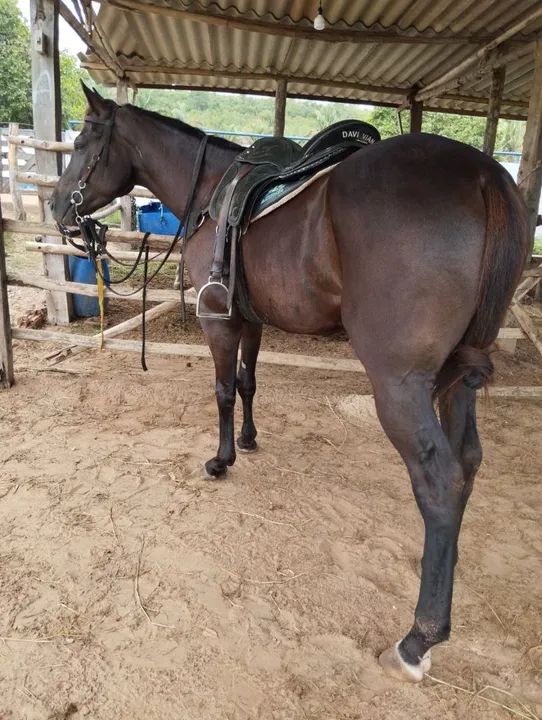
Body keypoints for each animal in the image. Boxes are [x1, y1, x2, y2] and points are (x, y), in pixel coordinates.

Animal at [51, 84, 530, 683]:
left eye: (82, 142)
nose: (56, 206)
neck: (211, 192)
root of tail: (484, 176)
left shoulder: (218, 321)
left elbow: (223, 390)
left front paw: (221, 460)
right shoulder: (251, 320)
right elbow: (249, 383)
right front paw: (250, 440)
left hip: (399, 384)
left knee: (441, 481)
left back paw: (419, 638)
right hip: (457, 380)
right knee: (467, 462)